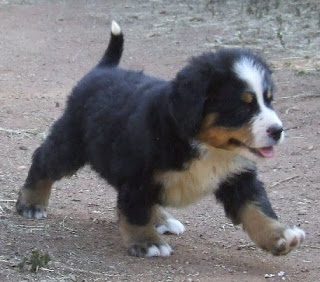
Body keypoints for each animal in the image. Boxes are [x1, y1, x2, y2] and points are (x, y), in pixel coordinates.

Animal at [16, 20, 304, 258]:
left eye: (269, 99)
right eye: (242, 106)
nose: (277, 130)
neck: (204, 146)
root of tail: (103, 69)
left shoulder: (238, 176)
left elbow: (256, 208)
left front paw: (279, 236)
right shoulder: (137, 174)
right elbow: (136, 210)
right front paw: (146, 243)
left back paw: (163, 219)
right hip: (70, 144)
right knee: (43, 160)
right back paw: (31, 202)